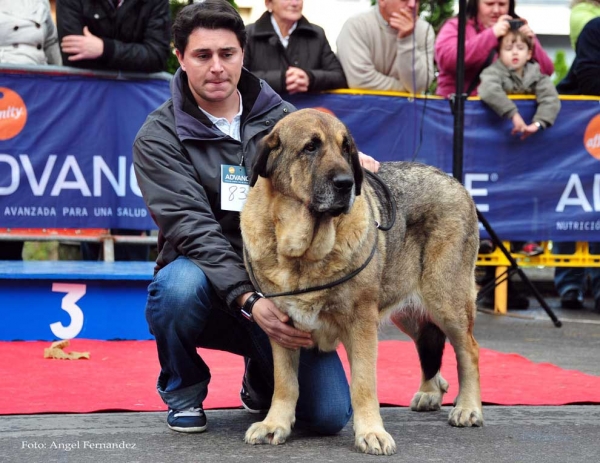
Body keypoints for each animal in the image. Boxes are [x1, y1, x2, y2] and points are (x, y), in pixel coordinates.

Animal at [239, 108, 482, 456]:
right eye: (310, 147)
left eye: (345, 149)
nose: (346, 183)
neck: (304, 254)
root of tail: (452, 180)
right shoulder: (280, 326)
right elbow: (285, 383)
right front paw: (275, 424)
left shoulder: (361, 322)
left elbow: (364, 383)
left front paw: (371, 432)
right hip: (407, 308)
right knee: (428, 340)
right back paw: (430, 391)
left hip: (446, 298)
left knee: (468, 350)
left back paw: (468, 408)